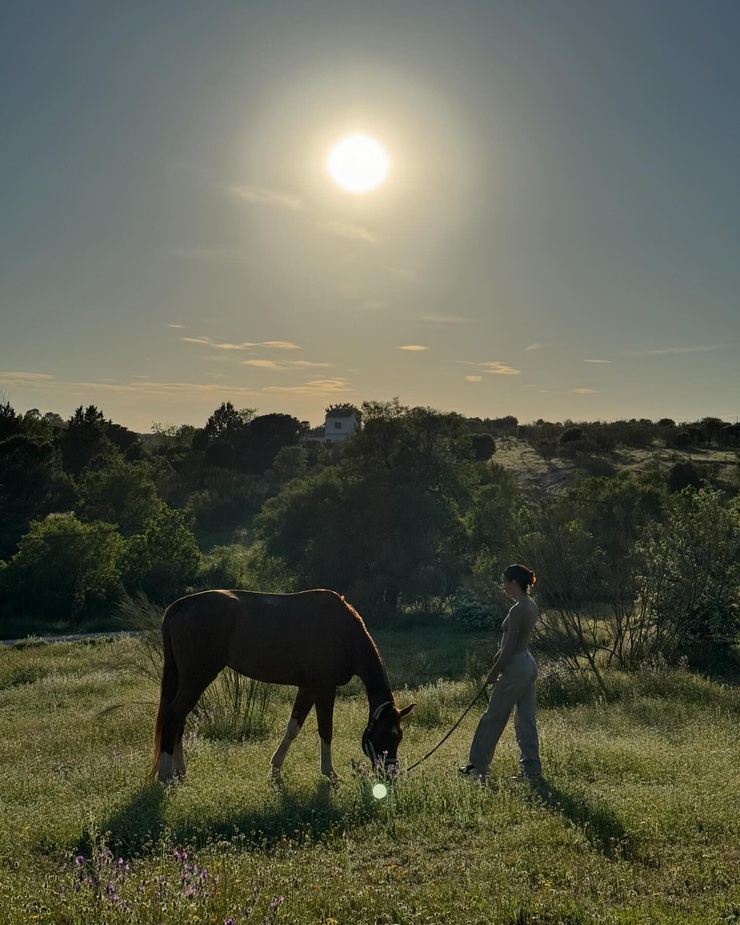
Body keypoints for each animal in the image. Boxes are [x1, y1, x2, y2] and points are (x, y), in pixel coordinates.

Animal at [150, 584, 416, 780]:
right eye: (390, 735)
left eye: (399, 736)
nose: (391, 774)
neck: (342, 630)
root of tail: (180, 606)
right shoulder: (324, 689)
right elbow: (326, 730)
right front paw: (329, 773)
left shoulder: (308, 689)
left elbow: (293, 727)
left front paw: (276, 767)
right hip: (198, 677)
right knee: (173, 716)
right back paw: (166, 775)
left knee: (179, 719)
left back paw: (180, 772)